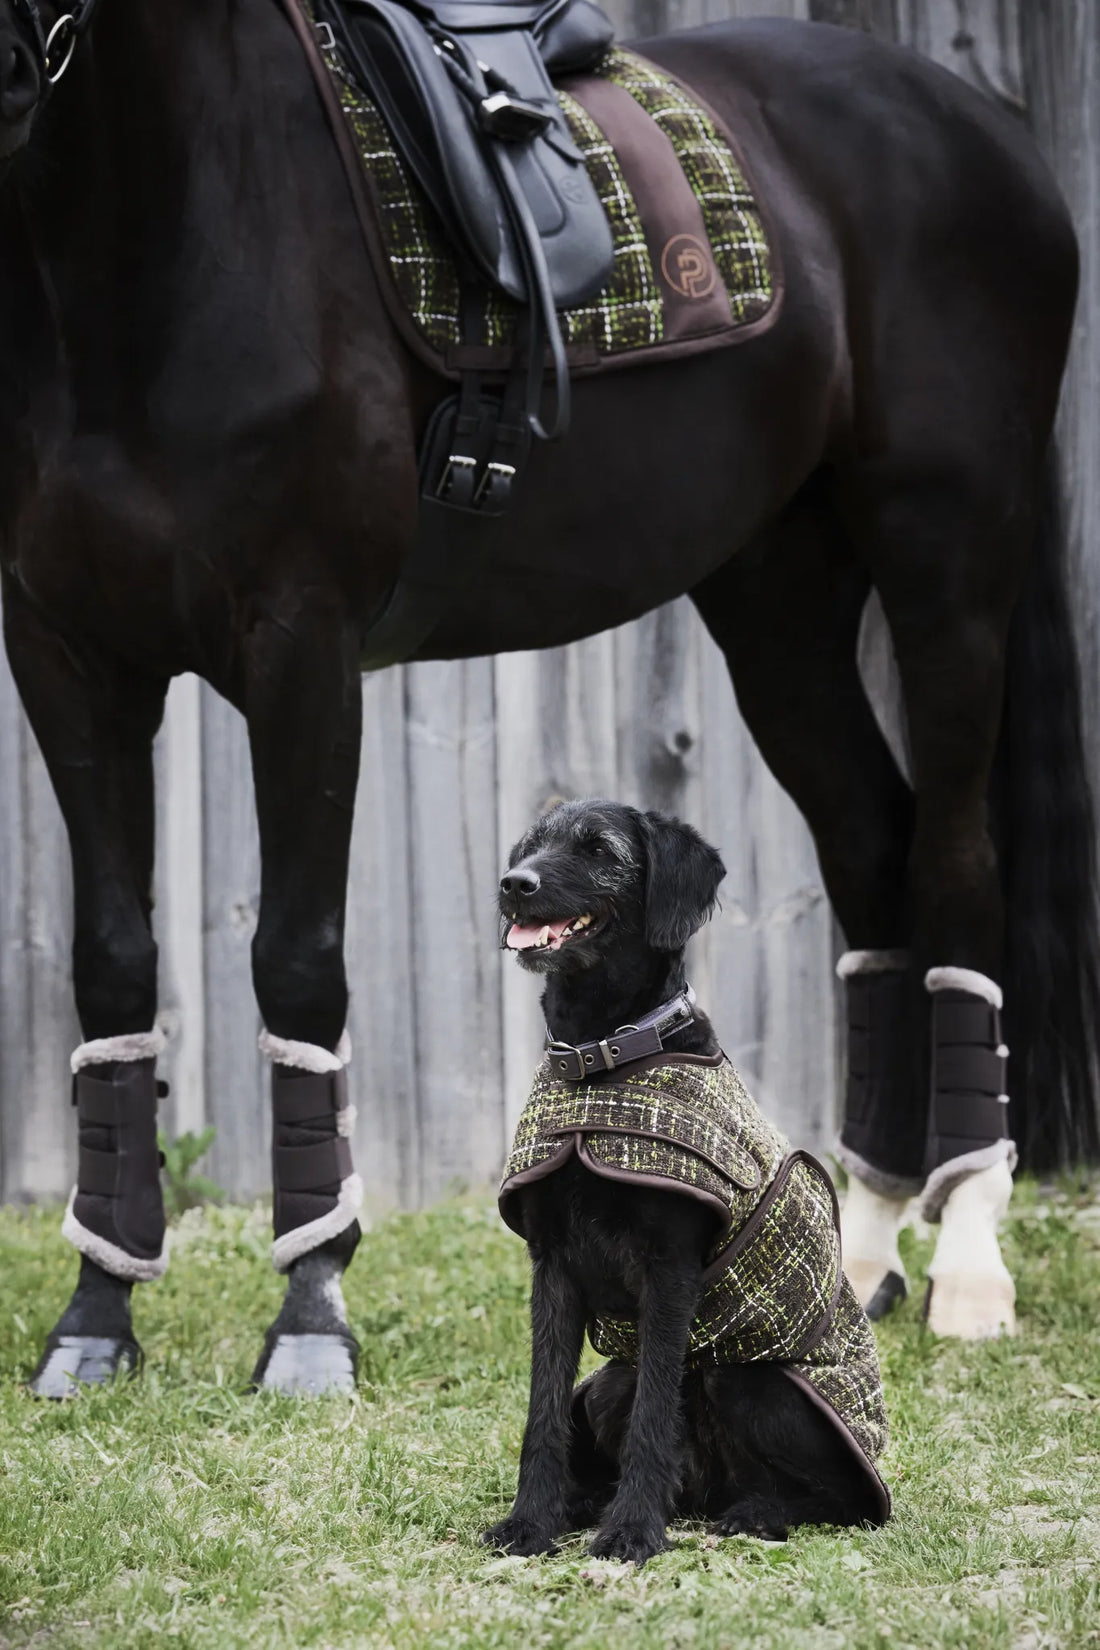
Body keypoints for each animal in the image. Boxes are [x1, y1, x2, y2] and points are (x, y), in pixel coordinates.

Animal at [2, 0, 1100, 1392]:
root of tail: (979, 130)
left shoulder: (301, 648)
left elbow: (296, 962)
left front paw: (310, 1317)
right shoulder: (64, 655)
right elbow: (110, 968)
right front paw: (95, 1317)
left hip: (945, 565)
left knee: (955, 865)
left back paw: (964, 1260)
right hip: (779, 601)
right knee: (872, 852)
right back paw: (853, 1253)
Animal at [484, 805, 890, 1564]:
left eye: (600, 851)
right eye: (531, 846)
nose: (513, 884)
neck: (601, 1061)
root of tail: (707, 1494)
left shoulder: (669, 1268)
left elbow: (654, 1414)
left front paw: (632, 1530)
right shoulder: (552, 1267)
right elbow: (542, 1410)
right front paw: (531, 1521)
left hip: (752, 1380)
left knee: (842, 1501)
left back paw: (753, 1511)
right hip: (610, 1381)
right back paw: (593, 1502)